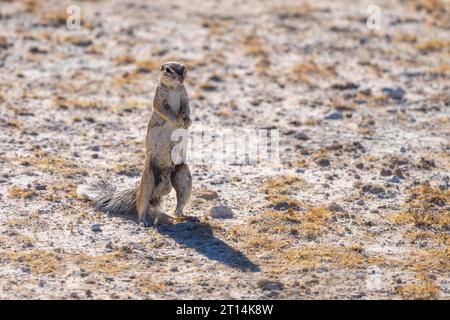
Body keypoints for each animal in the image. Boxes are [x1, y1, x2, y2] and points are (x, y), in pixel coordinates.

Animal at [77, 61, 195, 226]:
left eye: (184, 68)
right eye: (168, 69)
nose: (180, 78)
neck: (174, 88)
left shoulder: (185, 97)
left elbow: (187, 109)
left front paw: (188, 121)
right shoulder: (159, 97)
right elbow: (162, 109)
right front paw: (176, 121)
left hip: (184, 177)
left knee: (176, 206)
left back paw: (187, 217)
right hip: (148, 179)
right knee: (144, 202)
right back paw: (144, 221)